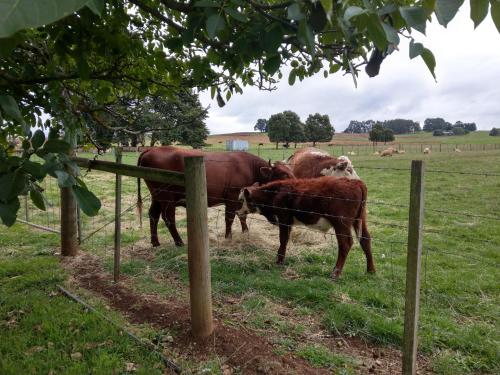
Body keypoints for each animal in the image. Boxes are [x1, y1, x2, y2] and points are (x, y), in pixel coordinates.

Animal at [137, 146, 292, 247]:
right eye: (283, 174)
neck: (249, 167)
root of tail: (151, 149)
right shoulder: (232, 196)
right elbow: (229, 218)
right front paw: (228, 238)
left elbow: (242, 216)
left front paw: (245, 232)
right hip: (166, 197)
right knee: (168, 217)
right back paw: (179, 242)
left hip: (156, 196)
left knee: (153, 214)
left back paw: (155, 242)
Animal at [238, 178, 376, 280]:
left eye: (240, 200)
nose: (237, 212)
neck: (274, 194)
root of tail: (355, 182)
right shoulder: (288, 222)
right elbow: (285, 240)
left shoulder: (284, 219)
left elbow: (283, 239)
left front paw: (279, 261)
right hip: (360, 220)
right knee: (365, 239)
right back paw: (371, 270)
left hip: (341, 223)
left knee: (345, 244)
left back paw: (335, 273)